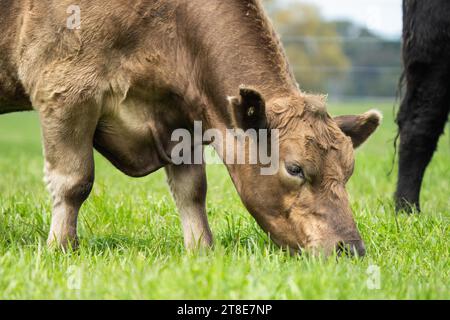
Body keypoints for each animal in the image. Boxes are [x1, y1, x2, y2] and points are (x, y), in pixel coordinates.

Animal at [0, 0, 380, 255]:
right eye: (295, 168)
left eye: (348, 172)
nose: (351, 249)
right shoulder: (65, 90)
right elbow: (74, 182)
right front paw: (61, 248)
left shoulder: (182, 120)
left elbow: (192, 190)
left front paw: (201, 249)